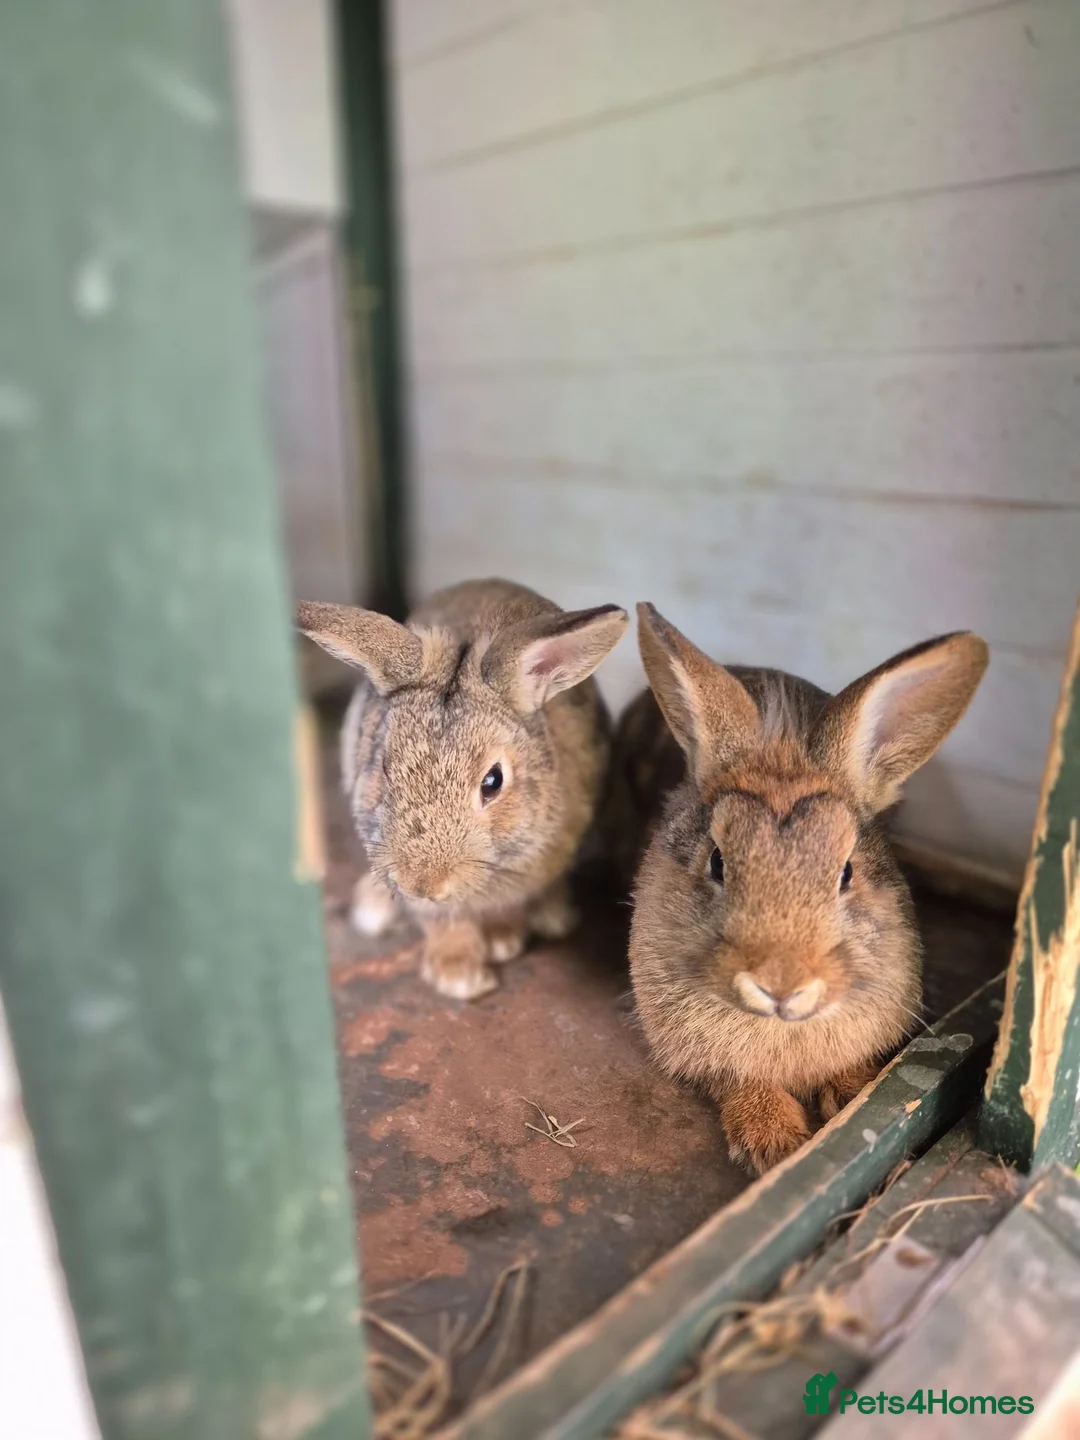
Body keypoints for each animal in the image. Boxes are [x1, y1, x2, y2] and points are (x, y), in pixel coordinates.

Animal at [296, 579, 629, 1000]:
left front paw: (502, 942)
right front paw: (460, 977)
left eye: (493, 781)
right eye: (385, 765)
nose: (422, 884)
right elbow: (444, 921)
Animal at [624, 603, 989, 1175]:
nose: (780, 987)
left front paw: (850, 1099)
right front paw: (774, 1141)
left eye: (846, 872)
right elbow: (742, 1081)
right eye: (717, 862)